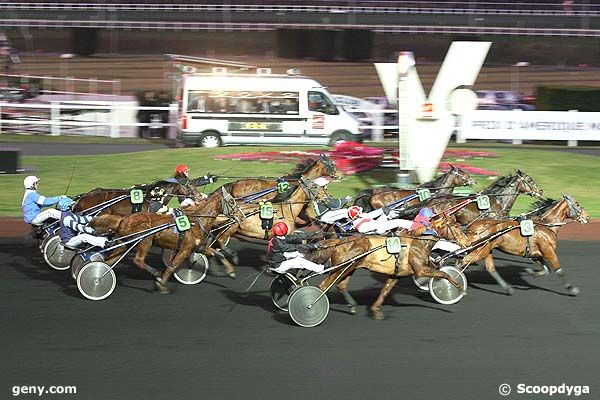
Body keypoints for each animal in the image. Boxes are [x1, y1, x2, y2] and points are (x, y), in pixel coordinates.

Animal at [91, 188, 239, 294]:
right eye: (231, 202)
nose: (239, 214)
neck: (196, 221)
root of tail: (123, 220)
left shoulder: (198, 246)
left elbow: (218, 254)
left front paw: (231, 271)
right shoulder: (185, 249)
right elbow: (172, 266)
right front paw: (161, 285)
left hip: (125, 244)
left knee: (110, 260)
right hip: (145, 241)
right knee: (138, 260)